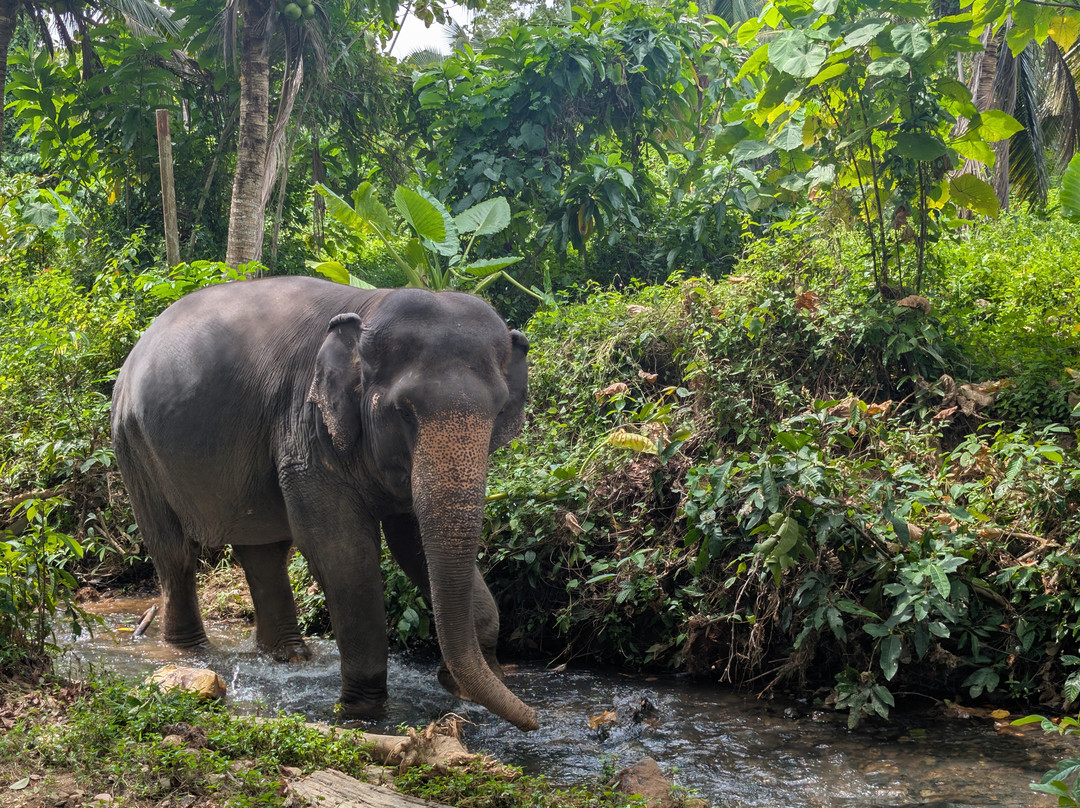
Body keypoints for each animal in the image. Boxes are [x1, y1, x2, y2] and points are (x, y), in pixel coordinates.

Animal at [111, 276, 538, 731]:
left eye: (498, 411)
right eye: (403, 411)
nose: (533, 720)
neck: (370, 306)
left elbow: (413, 545)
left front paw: (471, 675)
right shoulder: (306, 427)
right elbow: (342, 553)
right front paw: (362, 713)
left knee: (263, 552)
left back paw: (288, 657)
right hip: (134, 445)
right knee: (175, 552)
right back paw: (189, 652)